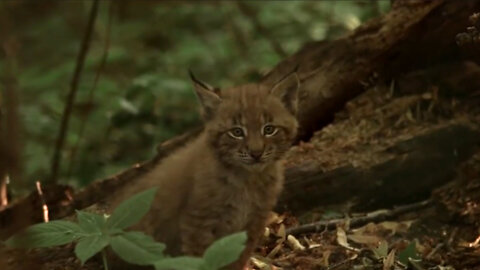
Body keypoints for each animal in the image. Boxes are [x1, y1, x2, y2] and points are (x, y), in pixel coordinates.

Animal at [109, 70, 298, 266]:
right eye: (237, 132)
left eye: (269, 129)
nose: (256, 153)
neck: (248, 179)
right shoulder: (198, 223)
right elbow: (202, 260)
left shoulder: (253, 222)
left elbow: (237, 259)